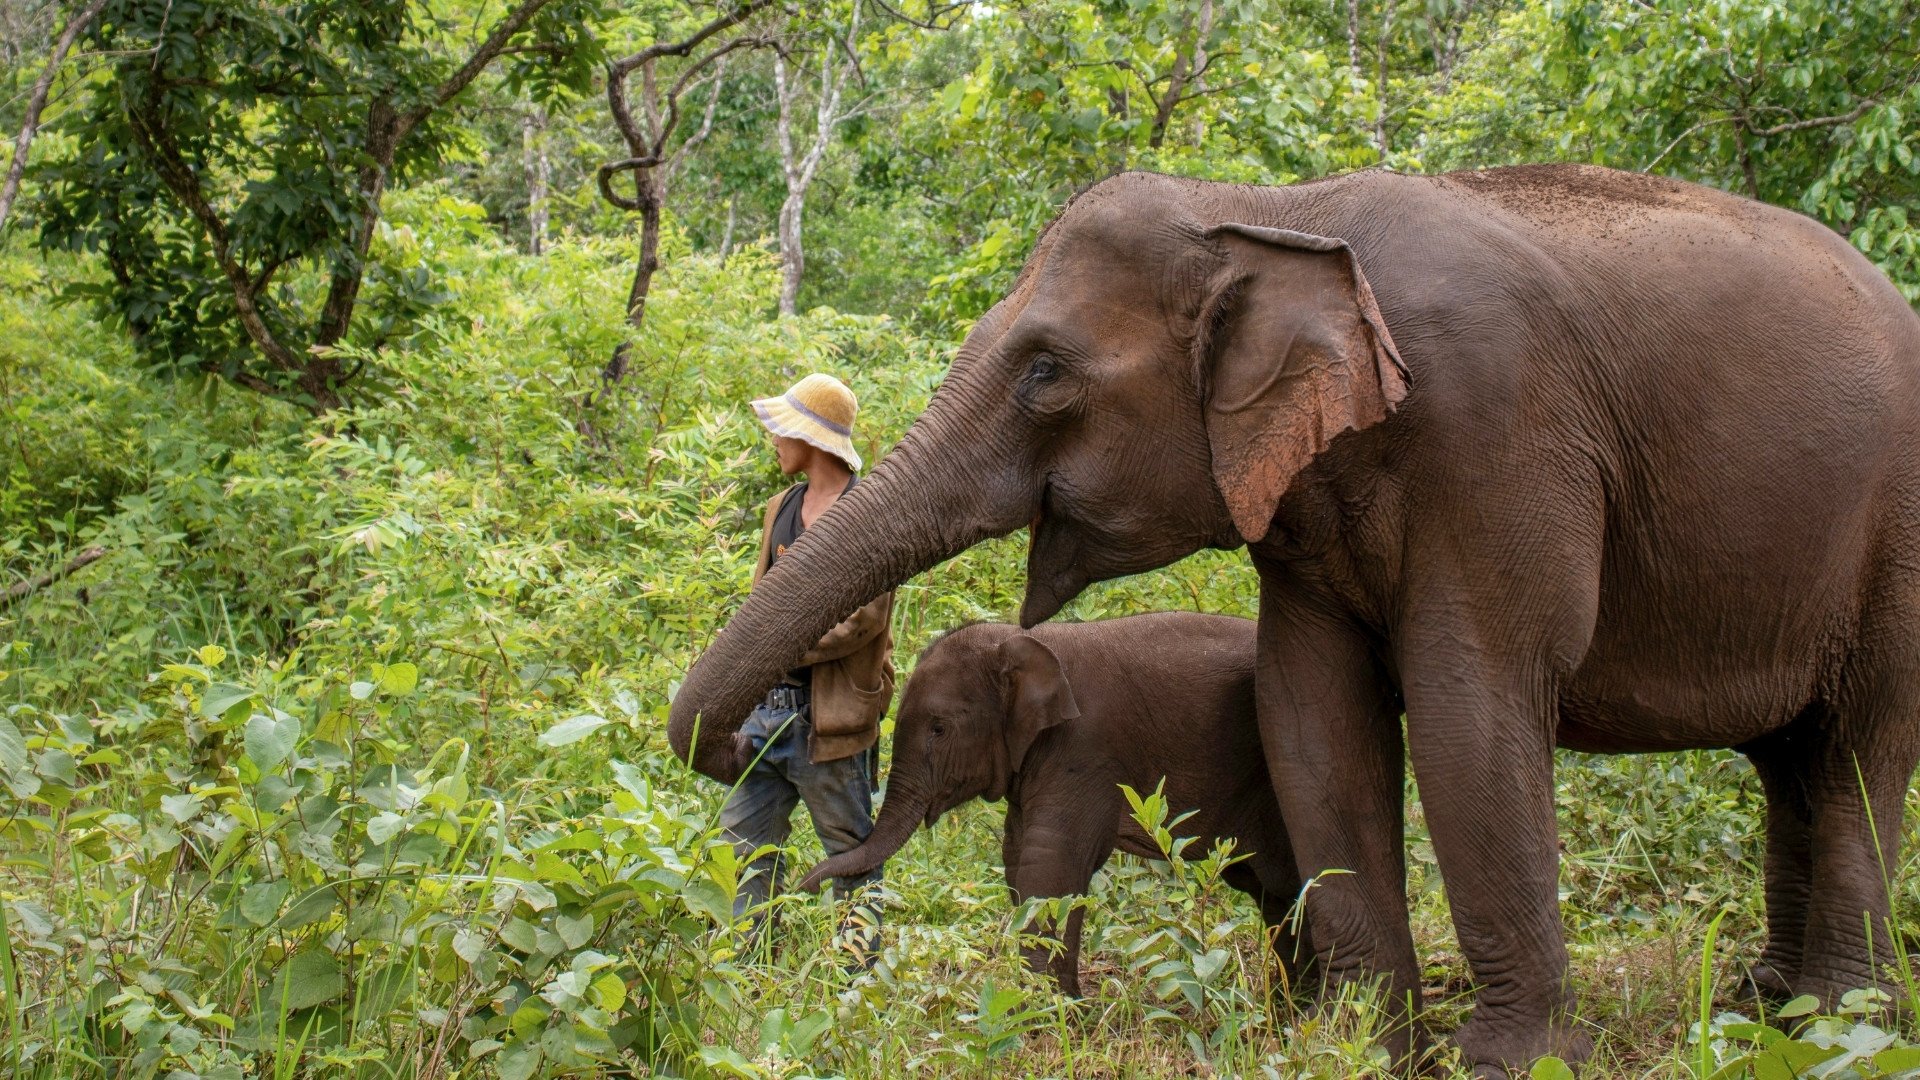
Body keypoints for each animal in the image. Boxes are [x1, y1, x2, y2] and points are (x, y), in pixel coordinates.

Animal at [794, 613, 1312, 997]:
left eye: (939, 728)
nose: (802, 885)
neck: (1024, 641)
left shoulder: (1084, 747)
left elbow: (1050, 864)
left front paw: (1053, 1011)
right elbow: (1016, 855)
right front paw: (1051, 1004)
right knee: (1276, 896)